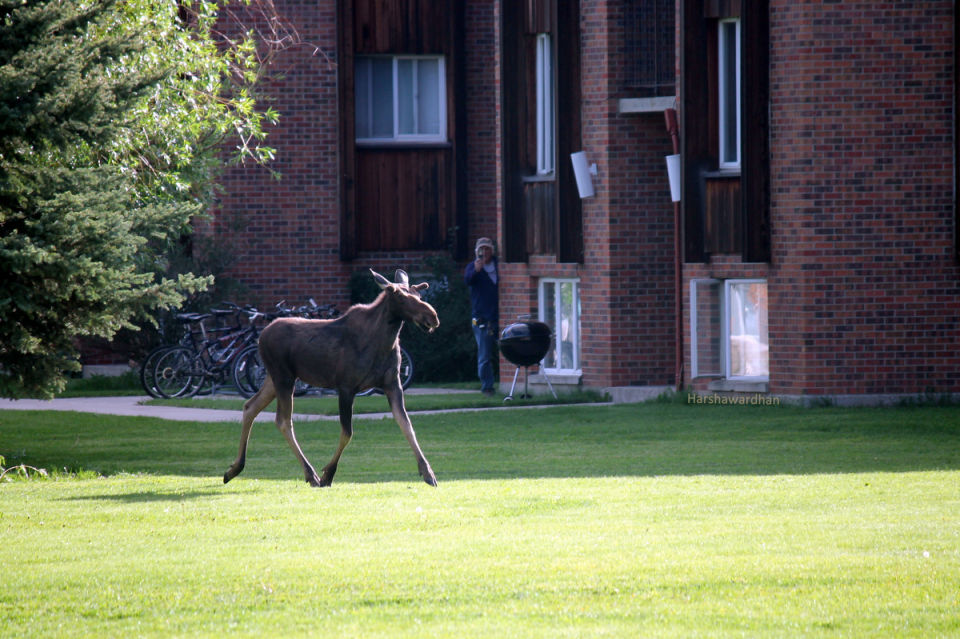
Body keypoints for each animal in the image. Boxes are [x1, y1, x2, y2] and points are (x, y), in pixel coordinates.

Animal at [223, 269, 440, 488]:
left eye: (419, 294)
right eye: (400, 296)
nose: (433, 316)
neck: (384, 342)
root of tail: (261, 336)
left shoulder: (393, 385)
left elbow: (407, 425)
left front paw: (428, 472)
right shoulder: (346, 386)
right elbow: (347, 433)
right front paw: (328, 474)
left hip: (275, 378)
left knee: (250, 406)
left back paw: (234, 468)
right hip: (283, 376)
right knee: (283, 420)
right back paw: (310, 474)